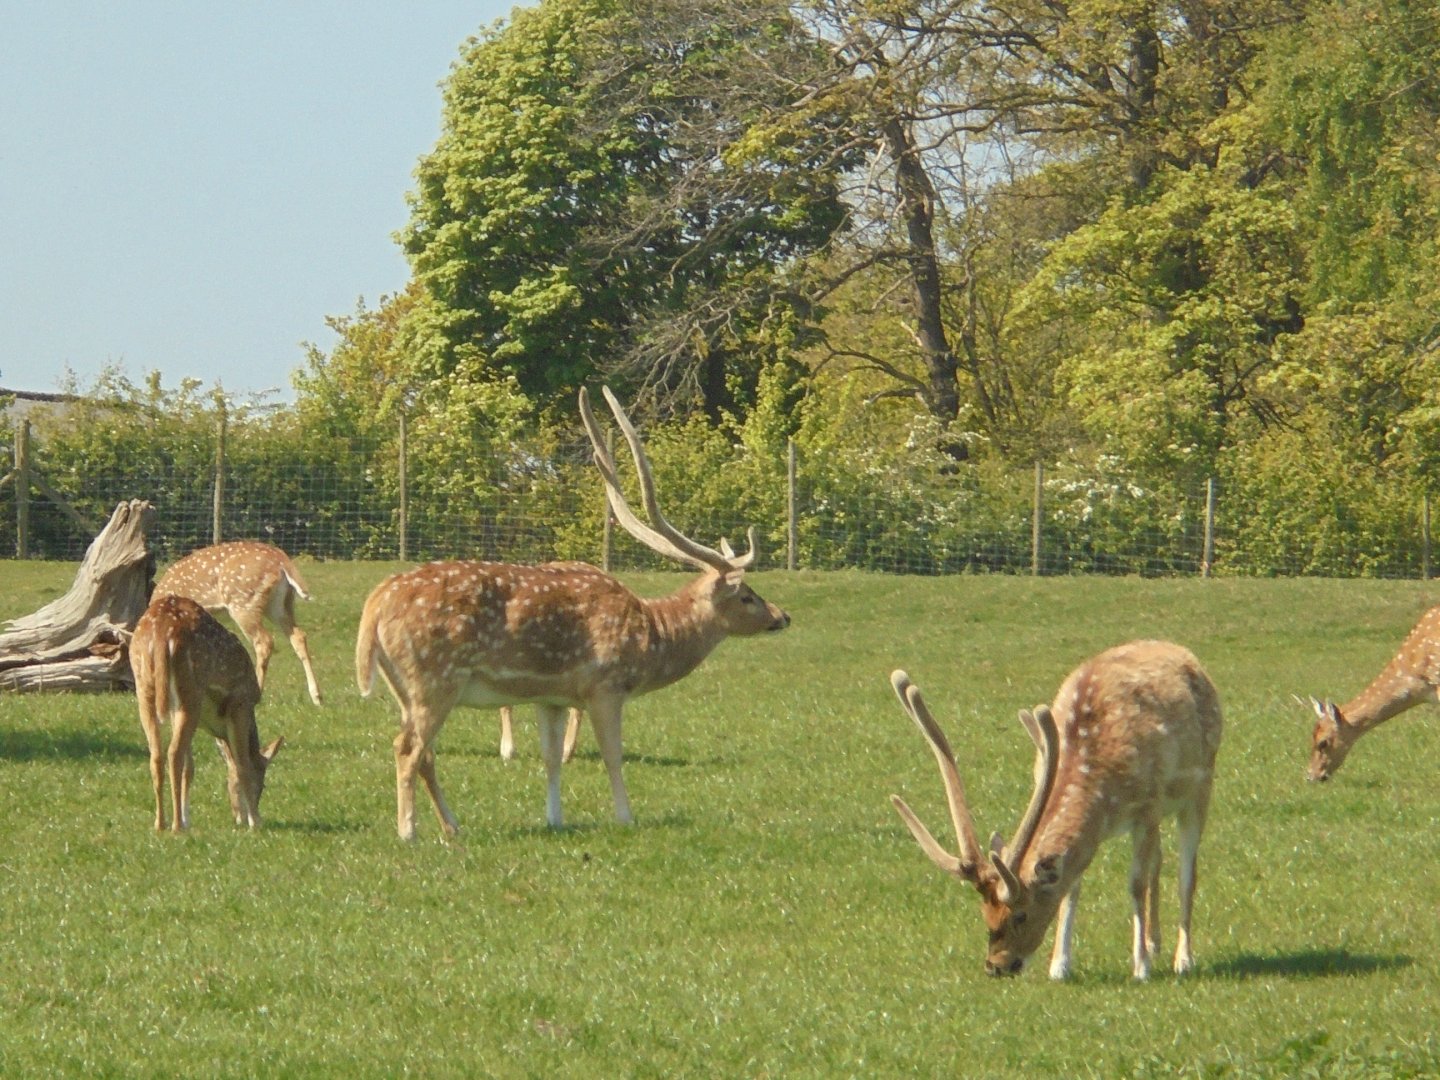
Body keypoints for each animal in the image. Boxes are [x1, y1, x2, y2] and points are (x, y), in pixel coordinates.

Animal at [128, 593, 284, 831]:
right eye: (263, 782)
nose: (240, 817)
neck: (217, 727)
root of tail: (162, 633)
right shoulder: (241, 703)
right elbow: (242, 764)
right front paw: (255, 821)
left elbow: (191, 767)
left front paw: (187, 818)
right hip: (191, 690)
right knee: (174, 753)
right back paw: (175, 826)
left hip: (144, 687)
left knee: (157, 753)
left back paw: (160, 823)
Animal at [154, 540, 322, 706]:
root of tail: (282, 559)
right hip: (279, 605)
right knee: (298, 635)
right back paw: (317, 697)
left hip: (243, 602)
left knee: (264, 641)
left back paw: (255, 696)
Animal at [356, 386, 791, 839]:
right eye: (747, 596)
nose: (781, 616)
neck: (652, 637)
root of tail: (376, 604)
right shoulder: (606, 684)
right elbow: (612, 754)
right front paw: (625, 817)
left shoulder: (553, 696)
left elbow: (550, 758)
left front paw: (555, 819)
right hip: (435, 677)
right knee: (408, 748)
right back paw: (409, 830)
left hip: (404, 686)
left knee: (424, 752)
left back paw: (452, 826)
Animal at [888, 640, 1223, 980]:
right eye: (985, 913)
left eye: (1020, 915)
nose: (995, 966)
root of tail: (1179, 650)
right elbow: (1072, 888)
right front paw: (1060, 965)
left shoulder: (1147, 807)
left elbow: (1135, 884)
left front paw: (1140, 968)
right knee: (1159, 857)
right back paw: (1155, 942)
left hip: (1200, 786)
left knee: (1186, 872)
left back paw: (1182, 959)